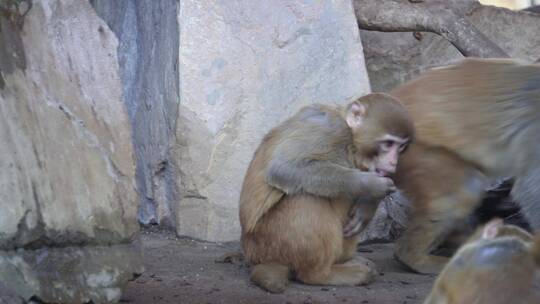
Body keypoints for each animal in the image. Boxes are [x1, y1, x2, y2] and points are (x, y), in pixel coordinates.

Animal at [238, 92, 416, 292]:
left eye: (401, 147)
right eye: (388, 143)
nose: (393, 162)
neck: (350, 139)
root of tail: (252, 254)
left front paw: (368, 205)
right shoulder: (330, 129)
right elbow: (283, 167)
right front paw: (372, 186)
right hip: (269, 244)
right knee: (306, 197)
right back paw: (321, 275)